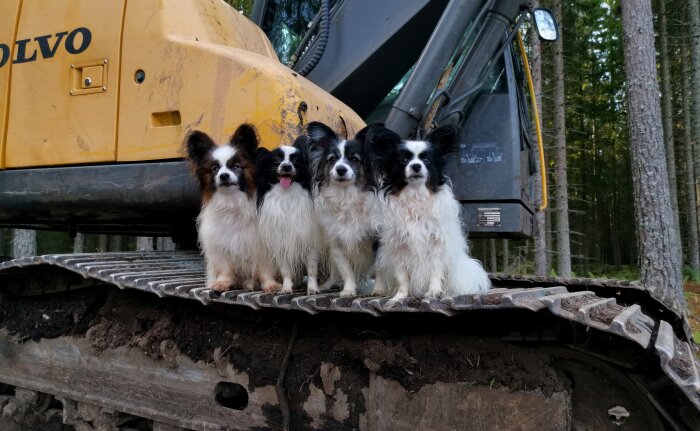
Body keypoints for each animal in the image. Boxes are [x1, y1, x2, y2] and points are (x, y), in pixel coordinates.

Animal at [185, 125, 264, 294]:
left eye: (235, 166)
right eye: (215, 168)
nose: (224, 176)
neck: (231, 201)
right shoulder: (222, 244)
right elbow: (226, 268)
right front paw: (222, 283)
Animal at [258, 137, 322, 296]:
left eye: (296, 161)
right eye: (276, 160)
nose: (286, 166)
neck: (286, 195)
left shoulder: (309, 240)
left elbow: (312, 269)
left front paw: (312, 288)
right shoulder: (282, 242)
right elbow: (285, 269)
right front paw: (286, 288)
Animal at [308, 121, 380, 296]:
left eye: (354, 159)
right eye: (332, 159)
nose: (341, 169)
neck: (346, 197)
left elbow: (380, 268)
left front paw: (379, 290)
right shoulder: (336, 244)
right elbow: (346, 270)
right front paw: (348, 290)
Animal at [370, 123, 490, 302]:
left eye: (426, 160)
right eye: (404, 160)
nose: (416, 166)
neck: (415, 195)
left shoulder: (437, 244)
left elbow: (435, 270)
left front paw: (434, 292)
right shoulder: (397, 247)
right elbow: (402, 276)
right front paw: (400, 296)